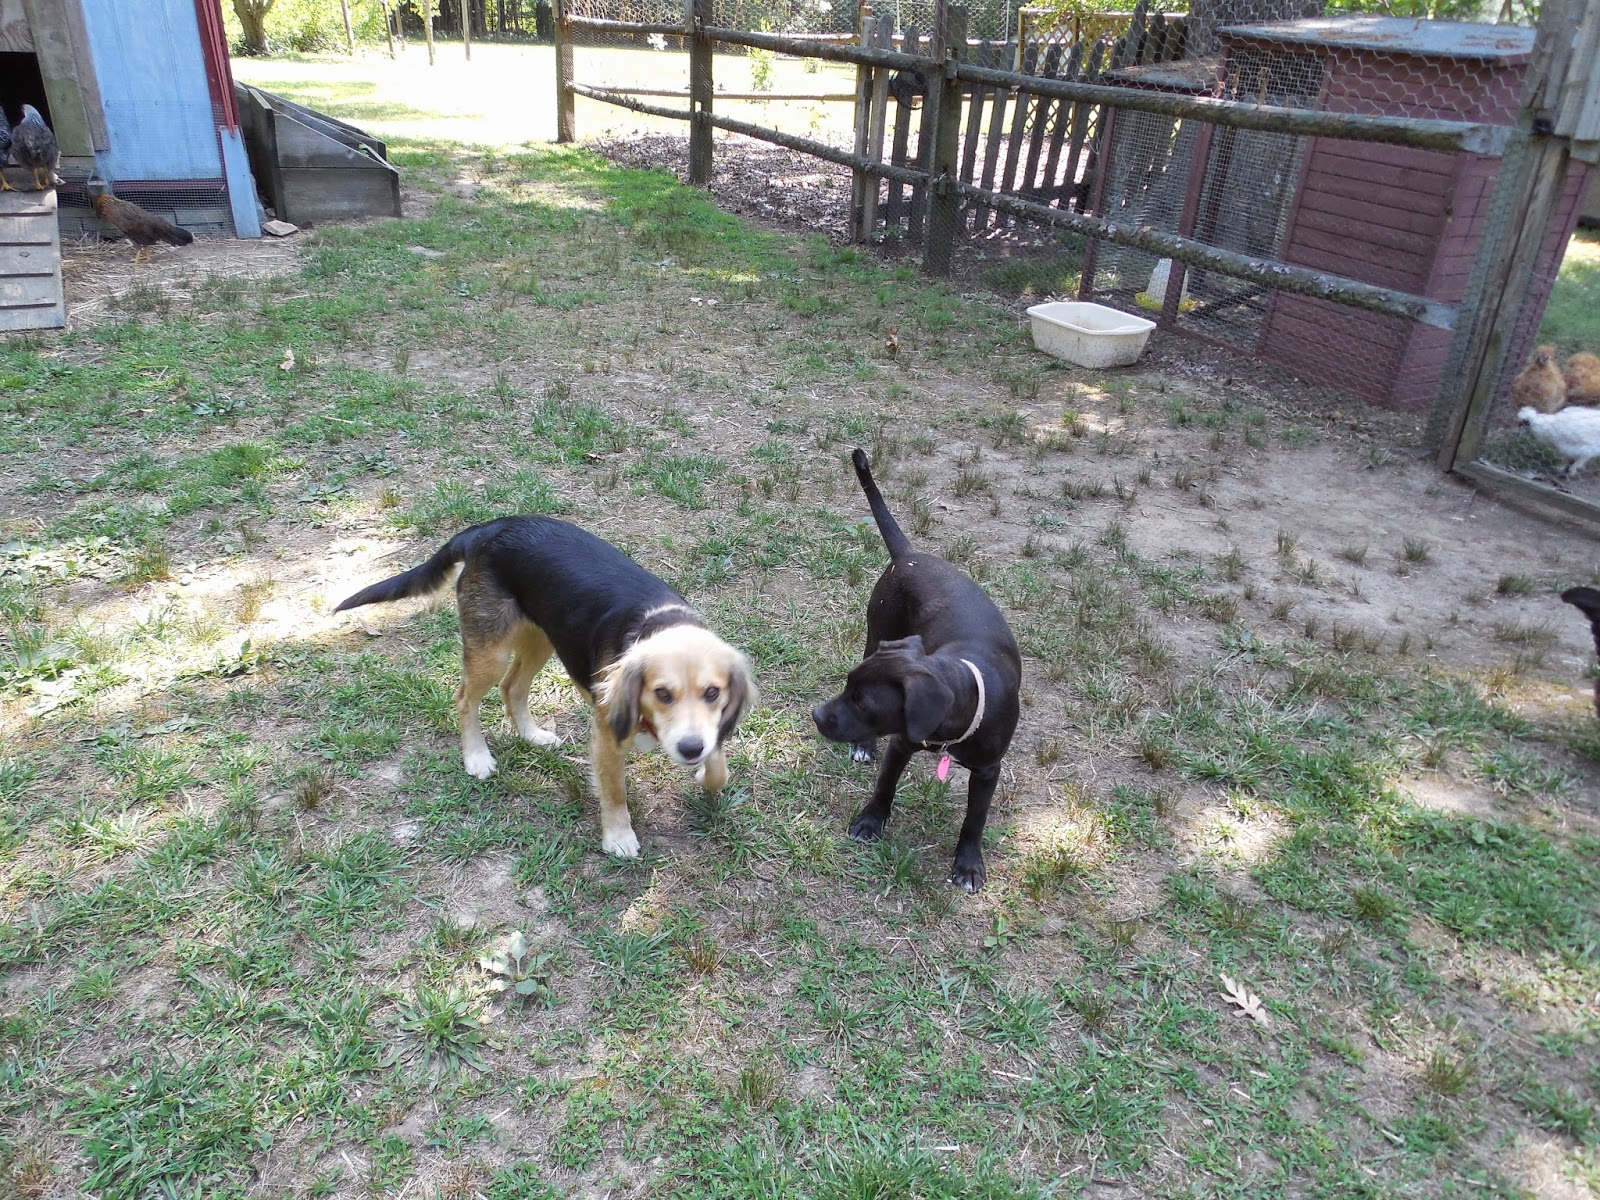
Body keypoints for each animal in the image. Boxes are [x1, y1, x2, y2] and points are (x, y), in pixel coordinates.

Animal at [334, 516, 757, 858]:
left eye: (713, 693)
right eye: (662, 693)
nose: (690, 749)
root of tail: (487, 529)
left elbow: (720, 770)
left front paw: (705, 776)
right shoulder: (606, 738)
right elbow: (614, 792)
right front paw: (618, 837)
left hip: (541, 639)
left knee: (512, 688)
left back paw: (532, 735)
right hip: (491, 652)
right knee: (465, 698)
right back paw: (477, 757)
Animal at [812, 450, 1021, 891]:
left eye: (863, 702)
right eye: (847, 686)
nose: (817, 716)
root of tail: (908, 554)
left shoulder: (988, 770)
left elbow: (975, 819)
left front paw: (968, 864)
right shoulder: (900, 744)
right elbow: (885, 786)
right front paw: (871, 821)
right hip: (879, 630)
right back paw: (863, 746)